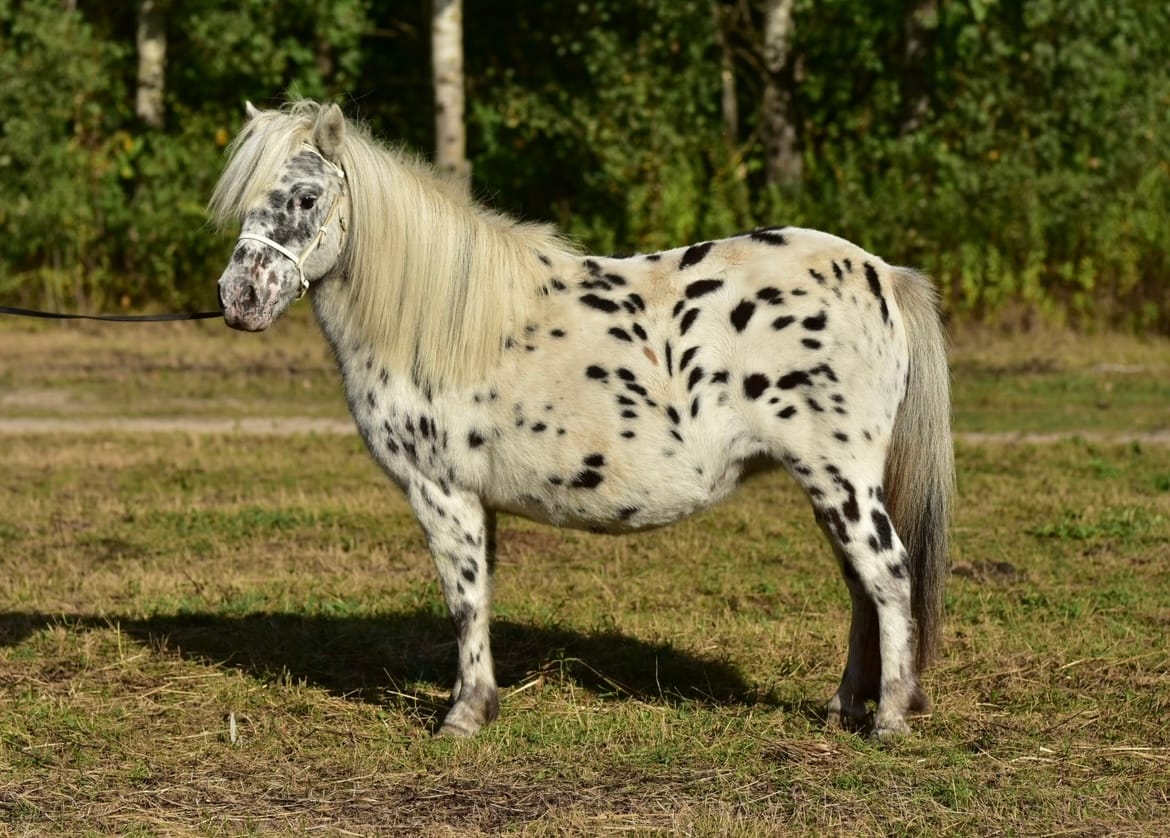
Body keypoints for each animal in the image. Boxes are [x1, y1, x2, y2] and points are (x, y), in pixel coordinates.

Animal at [210, 100, 953, 740]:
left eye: (307, 198)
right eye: (246, 198)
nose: (238, 298)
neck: (439, 320)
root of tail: (882, 273)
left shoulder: (440, 490)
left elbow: (463, 599)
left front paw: (463, 716)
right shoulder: (476, 501)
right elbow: (480, 596)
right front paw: (477, 702)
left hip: (841, 480)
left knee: (887, 575)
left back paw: (889, 720)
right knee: (860, 588)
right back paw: (843, 708)